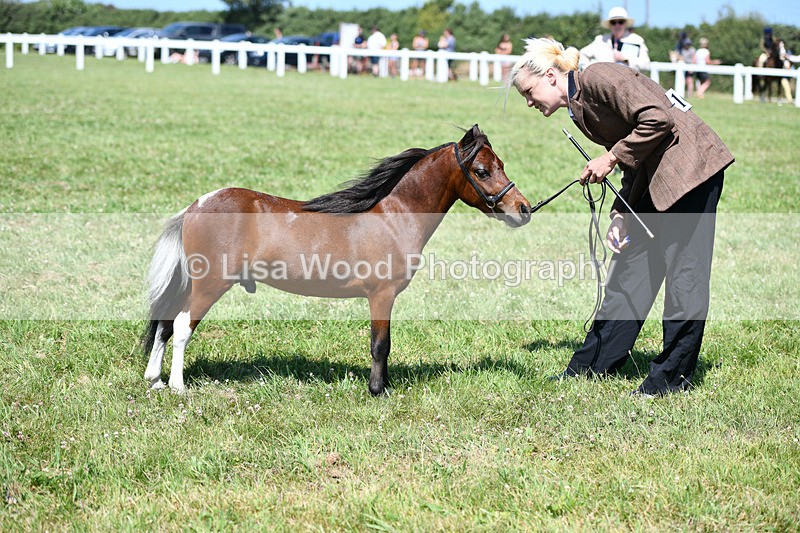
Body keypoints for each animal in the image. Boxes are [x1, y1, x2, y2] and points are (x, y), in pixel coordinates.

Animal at [142, 124, 532, 396]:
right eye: (482, 171)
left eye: (500, 164)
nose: (523, 209)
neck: (393, 215)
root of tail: (196, 205)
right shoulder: (381, 295)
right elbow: (380, 344)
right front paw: (378, 390)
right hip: (209, 286)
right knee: (181, 326)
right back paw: (177, 385)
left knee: (165, 325)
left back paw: (155, 380)